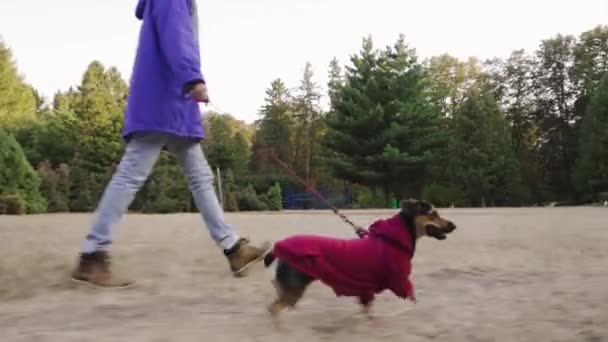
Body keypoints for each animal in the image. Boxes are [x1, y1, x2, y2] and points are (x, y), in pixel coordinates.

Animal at [264, 199, 454, 316]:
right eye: (433, 214)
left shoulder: (365, 291)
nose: (453, 225)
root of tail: (278, 247)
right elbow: (413, 301)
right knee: (274, 309)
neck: (393, 239)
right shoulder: (401, 283)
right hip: (295, 286)